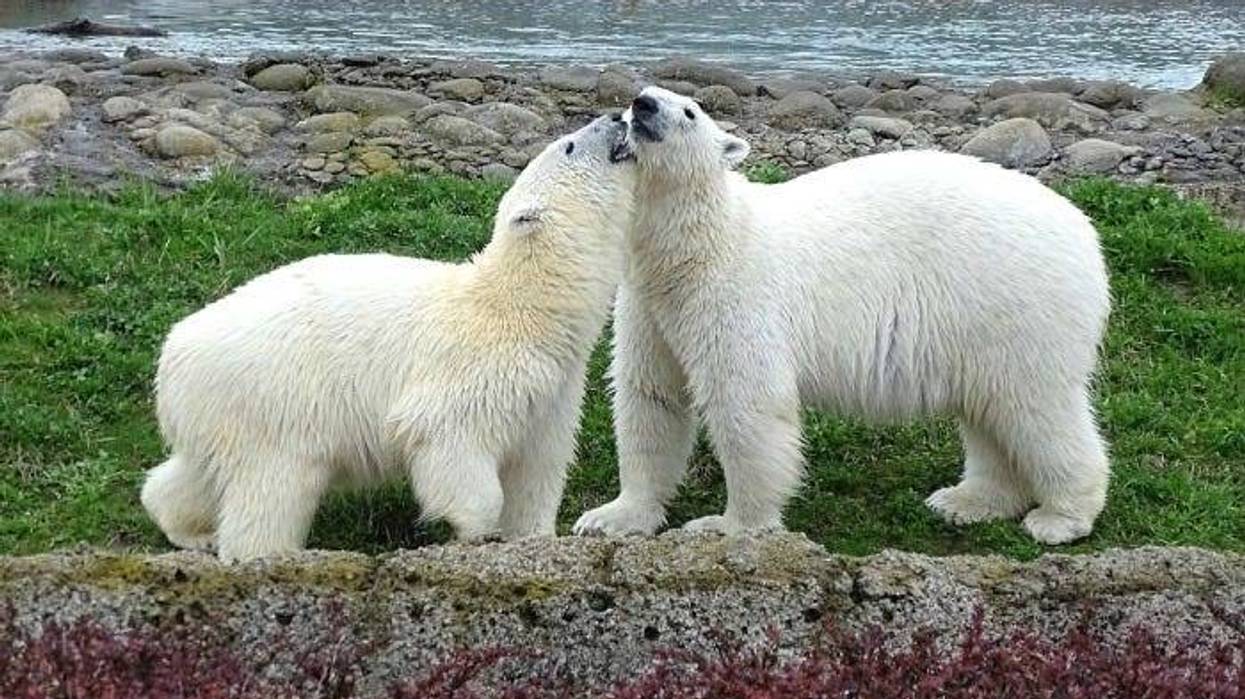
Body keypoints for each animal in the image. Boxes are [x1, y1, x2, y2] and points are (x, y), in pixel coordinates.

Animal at [142, 115, 636, 561]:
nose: (618, 117)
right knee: (274, 485)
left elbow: (537, 469)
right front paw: (479, 531)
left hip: (218, 408)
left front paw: (532, 537)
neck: (523, 309)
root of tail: (174, 352)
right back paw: (263, 553)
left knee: (197, 472)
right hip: (272, 399)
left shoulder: (551, 390)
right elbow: (447, 441)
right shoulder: (472, 371)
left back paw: (190, 530)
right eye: (569, 145)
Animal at [574, 86, 1111, 545]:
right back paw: (967, 500)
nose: (642, 105)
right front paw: (612, 517)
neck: (698, 247)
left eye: (689, 111)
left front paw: (728, 525)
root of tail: (1084, 231)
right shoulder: (650, 304)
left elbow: (748, 404)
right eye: (638, 100)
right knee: (989, 410)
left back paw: (1061, 517)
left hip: (1016, 301)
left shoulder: (737, 294)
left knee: (1034, 405)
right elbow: (651, 396)